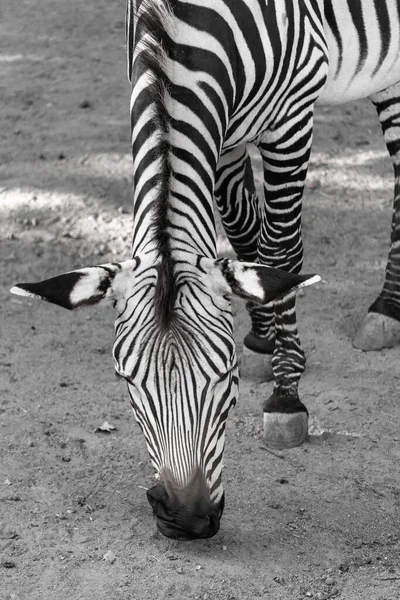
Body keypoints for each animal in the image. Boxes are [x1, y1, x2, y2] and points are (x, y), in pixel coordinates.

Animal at [10, 0, 400, 540]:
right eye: (126, 380)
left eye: (225, 377)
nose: (186, 519)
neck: (179, 23)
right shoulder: (223, 130)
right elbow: (242, 231)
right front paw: (262, 335)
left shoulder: (292, 116)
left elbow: (280, 251)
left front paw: (286, 393)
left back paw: (388, 308)